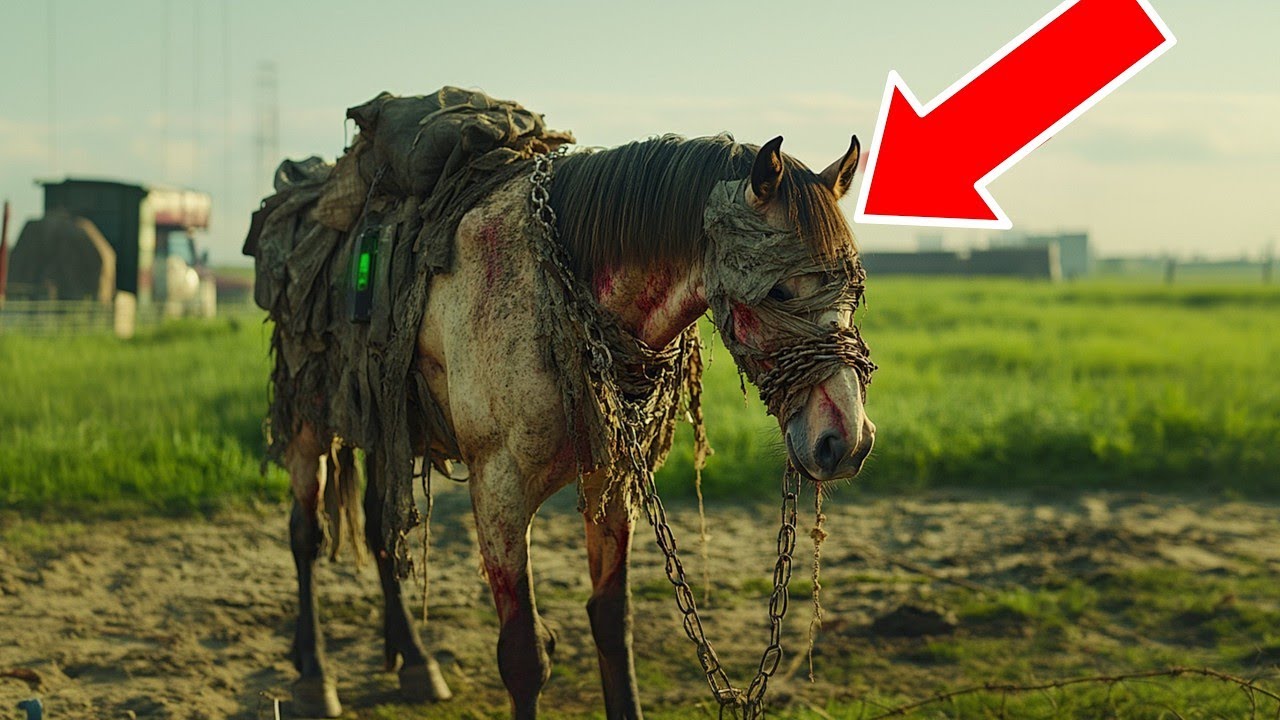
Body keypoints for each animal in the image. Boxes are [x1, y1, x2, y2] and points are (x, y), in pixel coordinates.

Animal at [274, 131, 876, 719]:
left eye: (854, 291)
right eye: (778, 291)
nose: (846, 442)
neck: (556, 294)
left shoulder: (610, 478)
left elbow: (612, 624)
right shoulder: (498, 489)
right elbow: (522, 655)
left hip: (386, 424)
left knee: (380, 526)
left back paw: (414, 662)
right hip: (308, 420)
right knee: (306, 534)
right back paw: (315, 676)